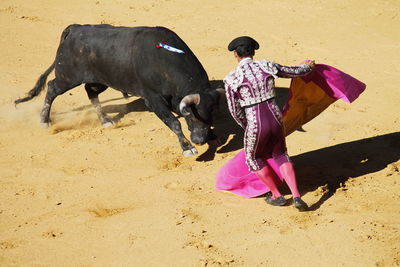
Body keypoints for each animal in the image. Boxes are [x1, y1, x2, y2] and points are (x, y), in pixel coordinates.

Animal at [14, 25, 225, 157]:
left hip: (102, 79)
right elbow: (174, 123)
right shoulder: (153, 99)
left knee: (91, 91)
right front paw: (187, 148)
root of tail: (75, 28)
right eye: (190, 114)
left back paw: (105, 120)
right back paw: (44, 121)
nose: (199, 139)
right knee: (52, 88)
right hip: (68, 76)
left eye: (211, 113)